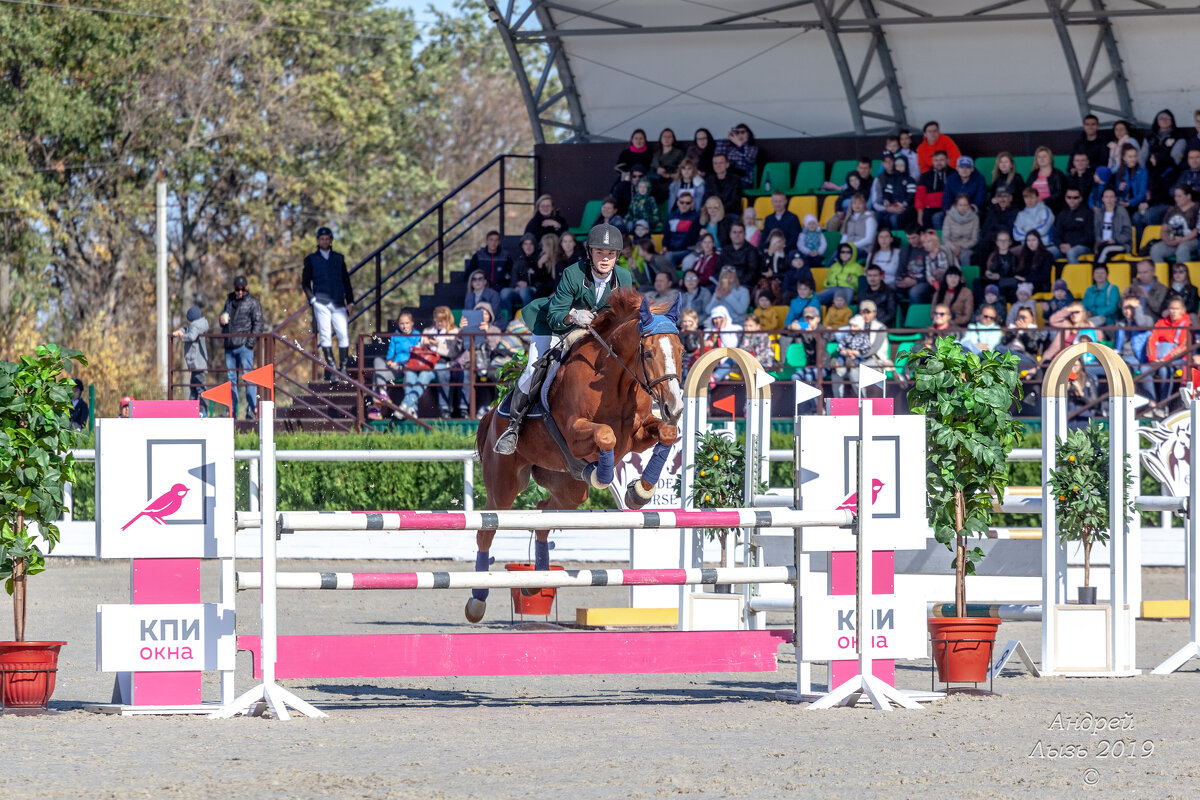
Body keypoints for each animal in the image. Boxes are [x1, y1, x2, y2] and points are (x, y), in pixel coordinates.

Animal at [472, 291, 691, 623]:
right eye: (649, 354)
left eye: (680, 350)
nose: (675, 407)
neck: (616, 381)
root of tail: (493, 414)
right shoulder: (576, 434)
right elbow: (606, 435)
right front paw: (602, 474)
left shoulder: (638, 437)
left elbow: (666, 434)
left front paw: (638, 493)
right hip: (504, 487)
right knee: (487, 530)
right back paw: (477, 600)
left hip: (568, 491)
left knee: (543, 513)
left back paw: (537, 581)